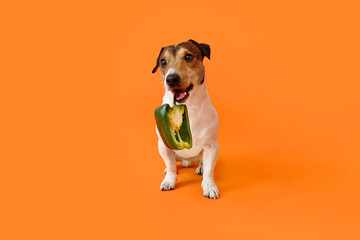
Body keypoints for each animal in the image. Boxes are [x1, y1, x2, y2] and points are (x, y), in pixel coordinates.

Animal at [152, 39, 219, 199]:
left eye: (188, 57)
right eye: (163, 62)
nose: (171, 79)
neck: (189, 107)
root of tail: (188, 161)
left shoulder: (212, 147)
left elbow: (209, 171)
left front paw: (209, 186)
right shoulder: (164, 146)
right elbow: (171, 166)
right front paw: (169, 180)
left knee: (202, 162)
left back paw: (200, 167)